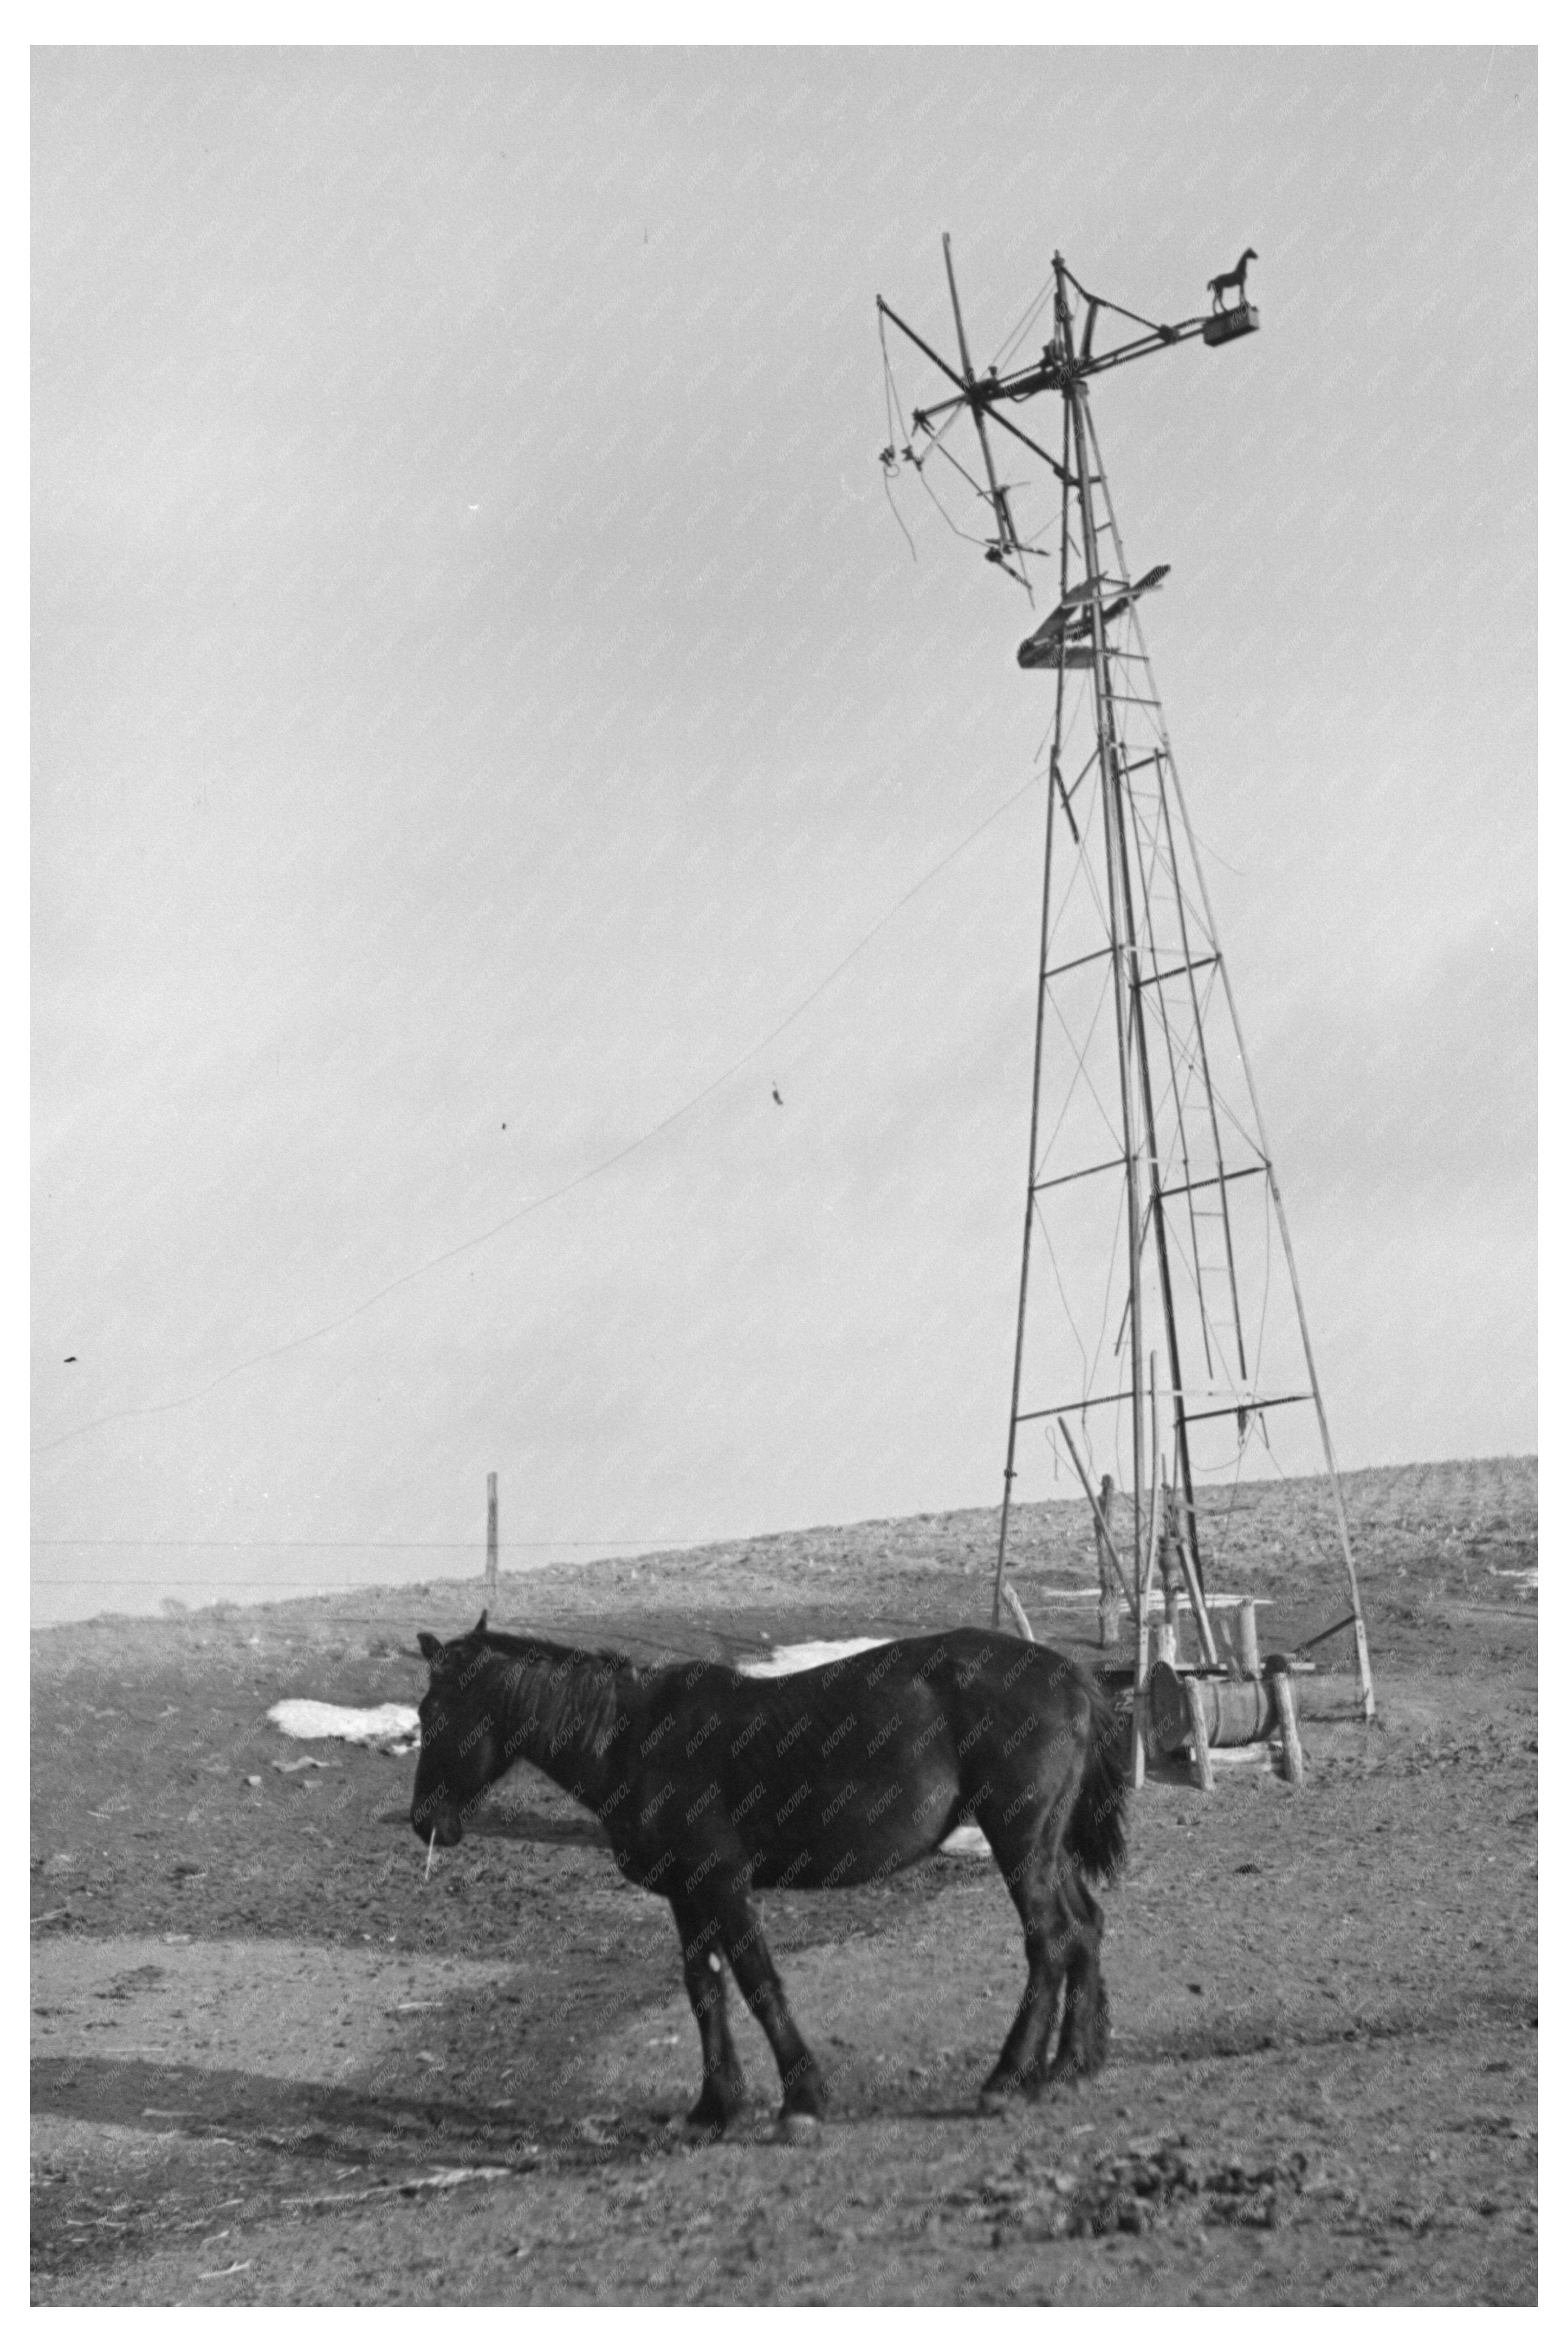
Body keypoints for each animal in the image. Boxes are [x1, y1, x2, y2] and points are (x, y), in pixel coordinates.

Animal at [411, 1618, 1128, 2135]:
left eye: (432, 1715)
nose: (425, 1821)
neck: (634, 1739)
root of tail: (1071, 1677)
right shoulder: (687, 1896)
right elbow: (705, 1989)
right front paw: (714, 2107)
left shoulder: (724, 1885)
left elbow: (758, 1983)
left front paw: (801, 2101)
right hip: (1048, 1845)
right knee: (1085, 1929)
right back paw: (1071, 2066)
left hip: (1020, 1840)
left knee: (1049, 1941)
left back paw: (1008, 2080)